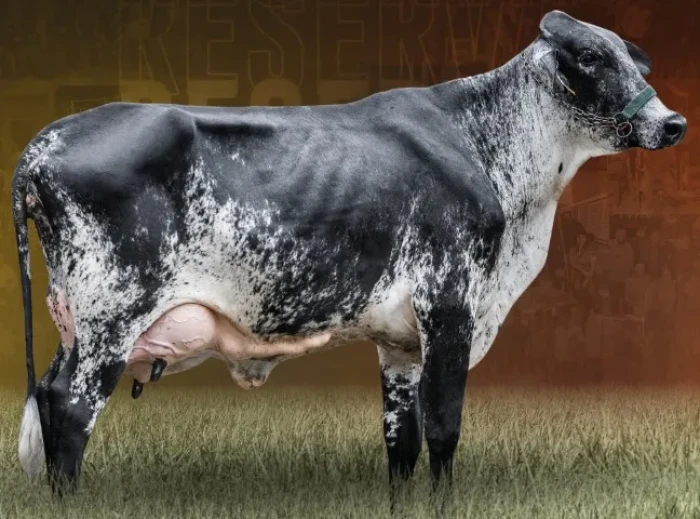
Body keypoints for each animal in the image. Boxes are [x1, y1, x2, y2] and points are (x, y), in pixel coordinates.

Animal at [12, 10, 686, 498]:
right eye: (593, 58)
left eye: (634, 57)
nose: (674, 122)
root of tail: (46, 143)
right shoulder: (451, 305)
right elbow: (445, 426)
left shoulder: (401, 341)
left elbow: (402, 438)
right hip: (111, 315)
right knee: (68, 405)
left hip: (76, 321)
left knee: (45, 397)